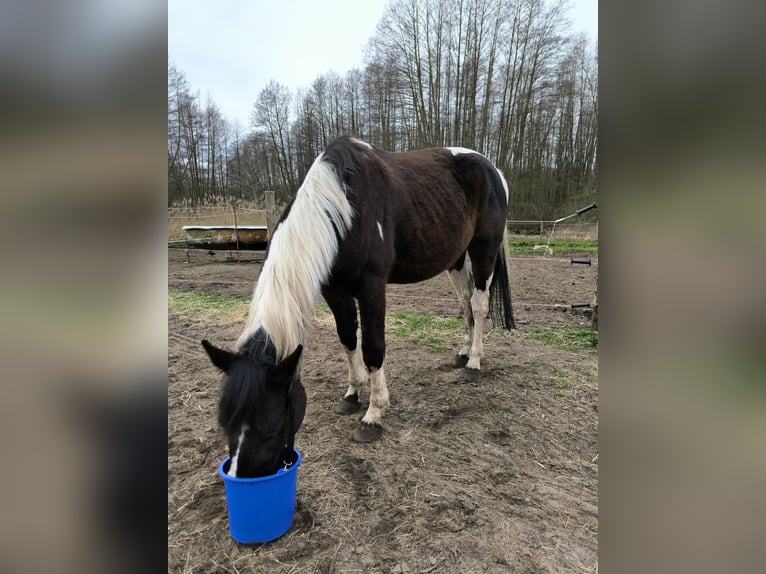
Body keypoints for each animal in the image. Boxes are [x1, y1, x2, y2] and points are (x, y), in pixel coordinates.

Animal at [202, 135, 515, 478]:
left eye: (270, 425)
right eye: (225, 423)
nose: (238, 476)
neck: (345, 209)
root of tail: (493, 170)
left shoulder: (371, 287)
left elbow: (374, 346)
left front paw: (373, 415)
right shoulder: (335, 291)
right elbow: (348, 338)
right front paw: (352, 395)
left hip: (483, 250)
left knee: (479, 304)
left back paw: (474, 363)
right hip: (455, 258)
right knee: (465, 301)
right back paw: (463, 352)